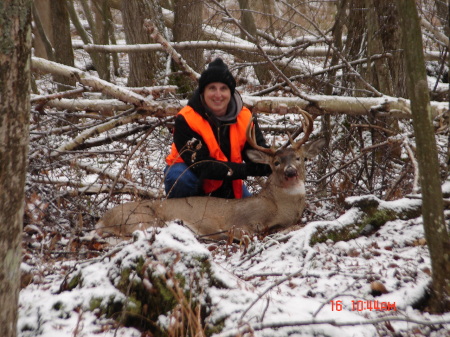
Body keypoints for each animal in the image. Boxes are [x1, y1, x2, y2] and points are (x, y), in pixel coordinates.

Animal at [96, 110, 326, 242]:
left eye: (300, 158)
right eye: (276, 163)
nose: (290, 172)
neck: (279, 207)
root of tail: (103, 218)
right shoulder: (242, 221)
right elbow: (246, 233)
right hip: (141, 219)